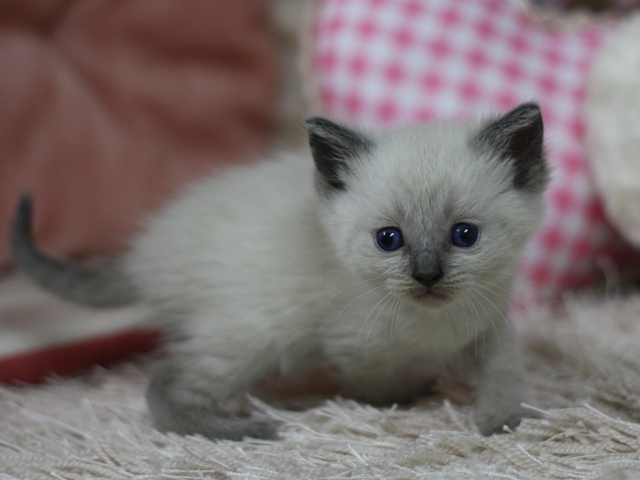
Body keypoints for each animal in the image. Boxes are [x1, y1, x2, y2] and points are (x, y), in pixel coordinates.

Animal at [11, 103, 552, 440]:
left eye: (464, 235)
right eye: (388, 239)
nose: (427, 275)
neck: (436, 321)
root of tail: (143, 255)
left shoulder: (488, 323)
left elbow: (504, 371)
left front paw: (502, 421)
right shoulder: (355, 349)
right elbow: (384, 388)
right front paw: (411, 396)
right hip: (252, 334)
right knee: (163, 384)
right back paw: (245, 429)